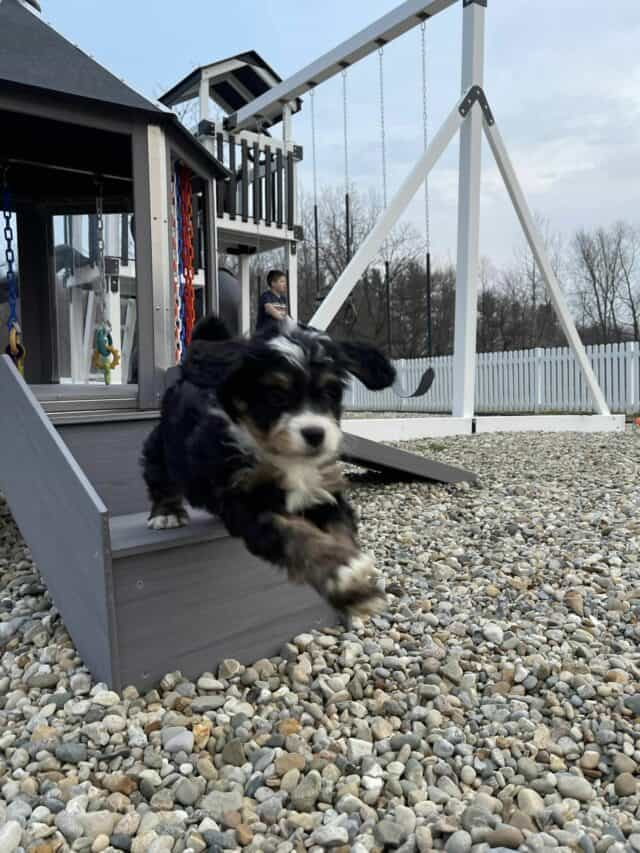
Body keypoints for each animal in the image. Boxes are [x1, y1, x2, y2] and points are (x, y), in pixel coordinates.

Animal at [141, 316, 396, 616]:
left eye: (331, 392)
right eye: (275, 396)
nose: (315, 434)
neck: (287, 459)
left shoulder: (324, 493)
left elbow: (341, 530)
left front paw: (357, 587)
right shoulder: (247, 502)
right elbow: (294, 532)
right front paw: (343, 572)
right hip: (162, 443)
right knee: (158, 473)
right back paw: (166, 512)